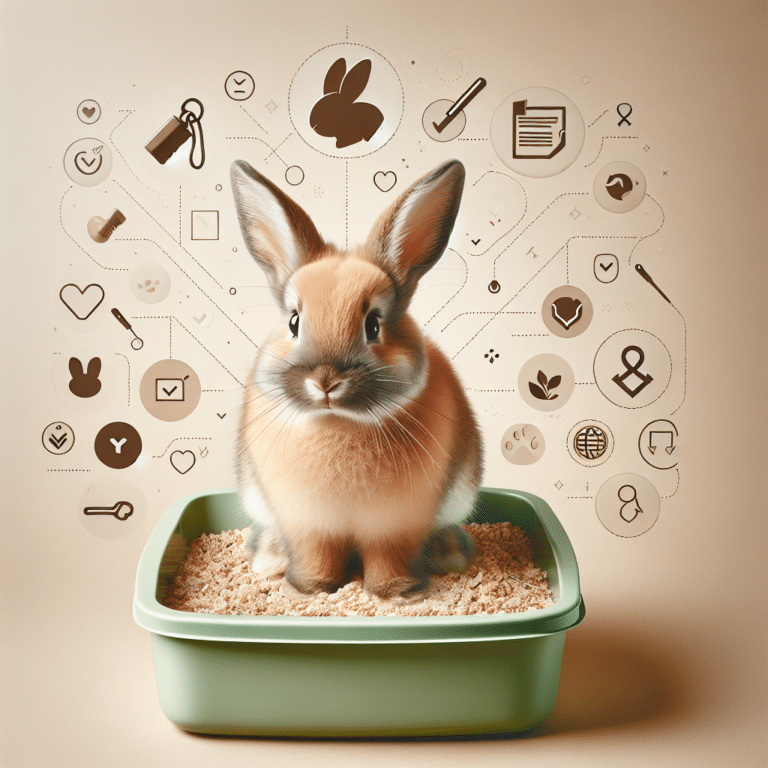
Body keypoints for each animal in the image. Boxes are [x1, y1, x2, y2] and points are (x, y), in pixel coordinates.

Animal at [230, 158, 483, 601]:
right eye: (294, 322)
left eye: (373, 325)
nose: (326, 382)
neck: (338, 422)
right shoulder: (309, 524)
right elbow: (316, 555)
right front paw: (307, 590)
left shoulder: (396, 525)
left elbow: (388, 556)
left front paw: (398, 593)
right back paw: (269, 558)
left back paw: (449, 552)